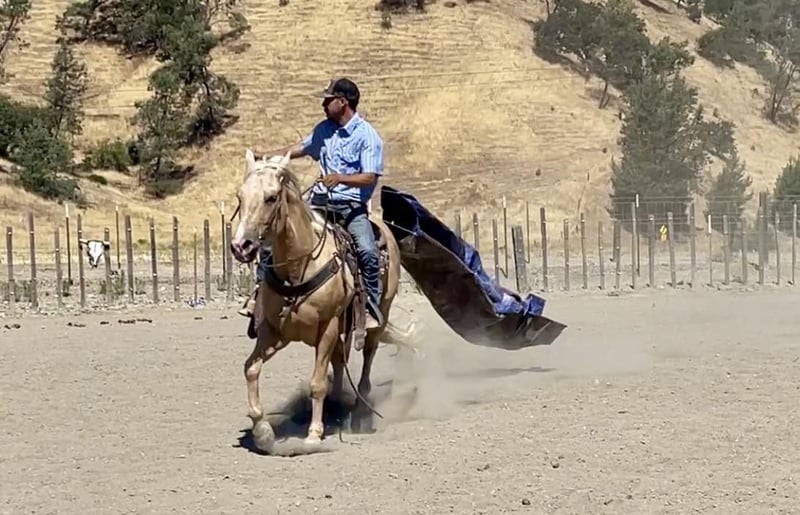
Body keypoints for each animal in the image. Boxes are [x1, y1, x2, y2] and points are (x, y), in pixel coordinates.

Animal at [229, 149, 418, 455]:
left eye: (271, 197)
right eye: (240, 196)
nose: (240, 246)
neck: (299, 268)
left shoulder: (327, 326)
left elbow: (317, 383)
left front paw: (313, 435)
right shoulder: (273, 331)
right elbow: (251, 369)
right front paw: (263, 432)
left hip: (378, 317)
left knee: (367, 359)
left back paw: (359, 414)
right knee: (340, 361)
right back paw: (337, 408)